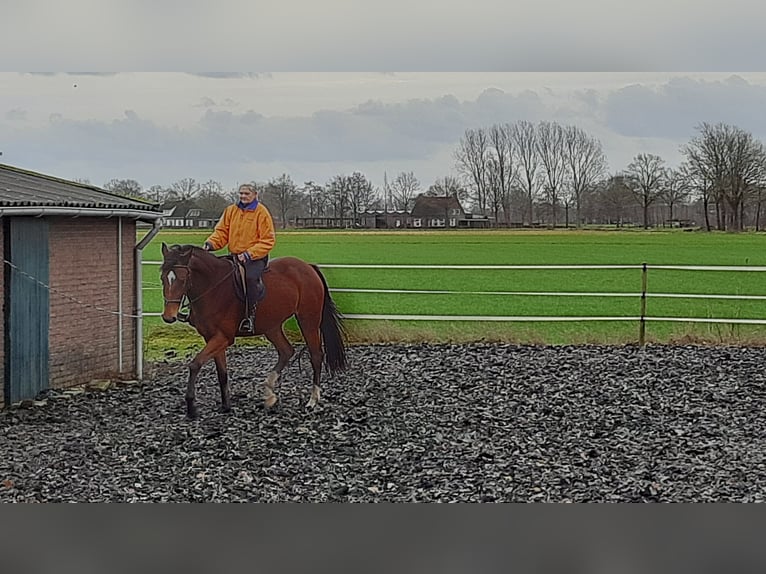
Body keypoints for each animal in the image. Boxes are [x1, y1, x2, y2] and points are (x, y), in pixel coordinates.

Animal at [160, 243, 350, 418]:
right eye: (162, 277)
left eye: (183, 279)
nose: (169, 316)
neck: (213, 287)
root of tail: (308, 267)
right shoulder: (213, 338)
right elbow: (222, 373)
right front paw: (226, 406)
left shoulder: (223, 337)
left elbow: (195, 364)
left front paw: (191, 406)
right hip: (272, 327)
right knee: (286, 351)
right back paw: (269, 395)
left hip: (308, 320)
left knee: (316, 356)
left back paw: (312, 400)